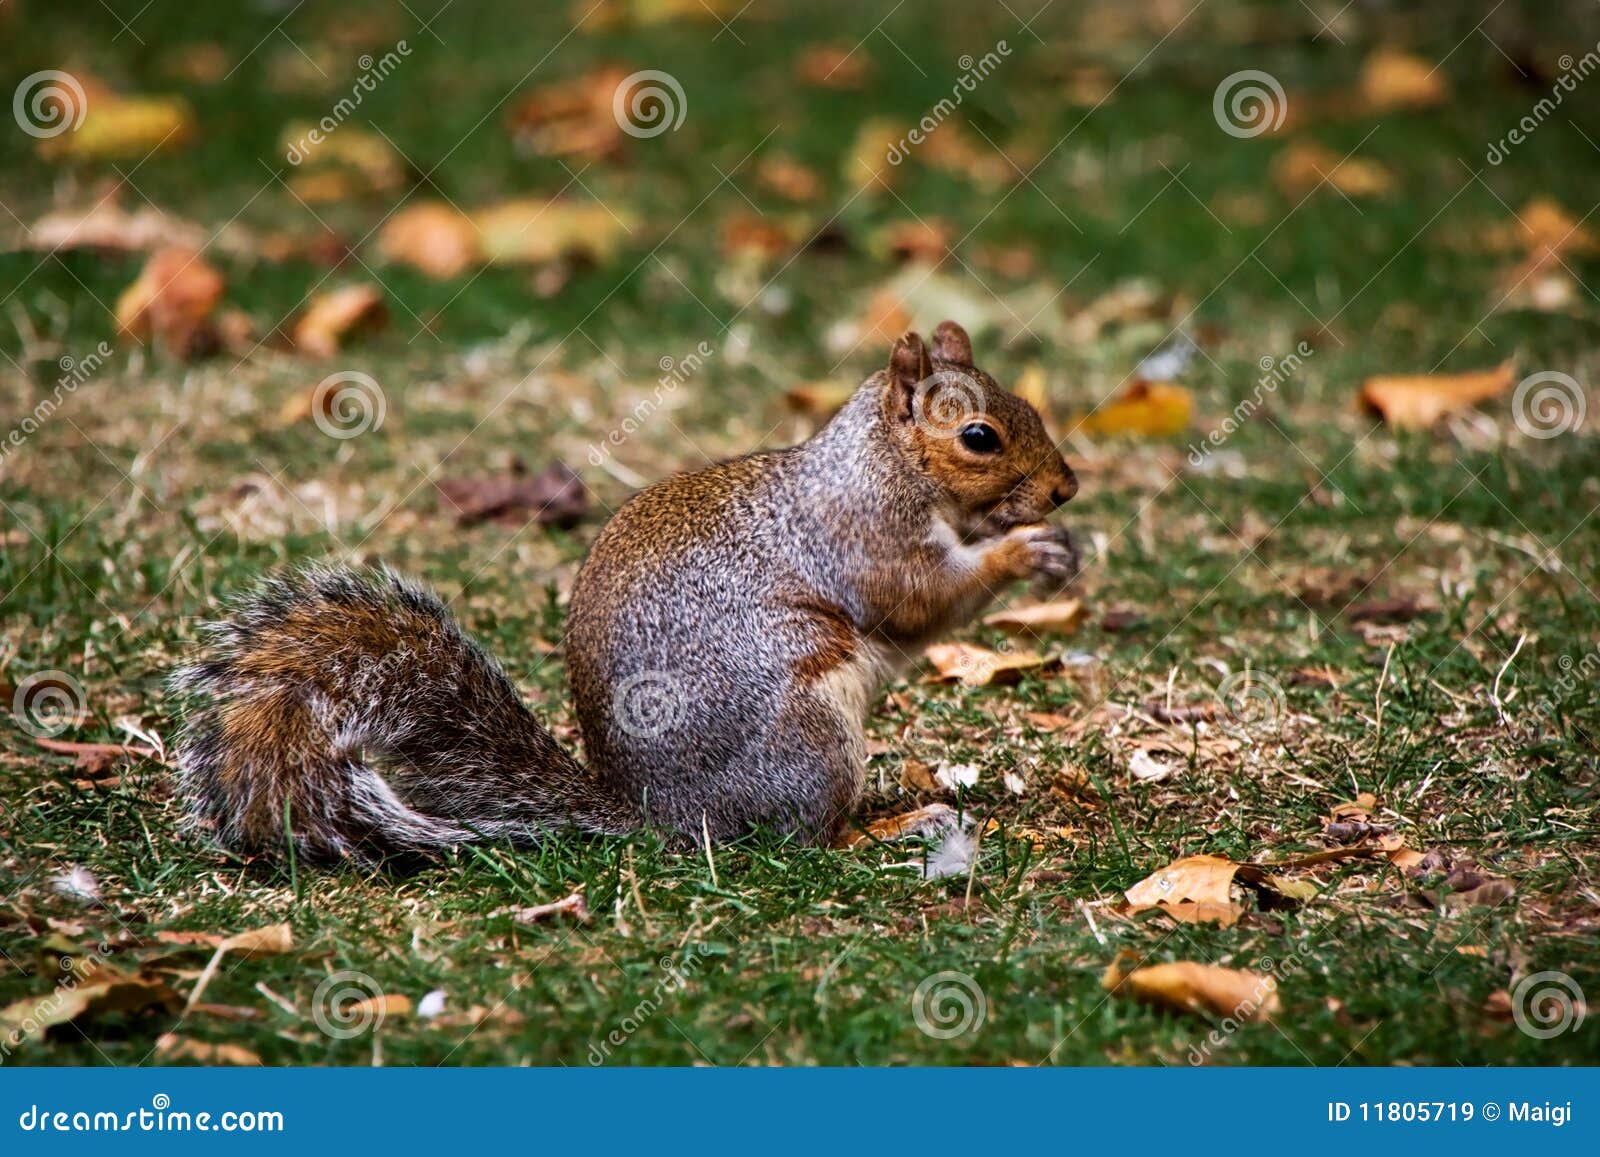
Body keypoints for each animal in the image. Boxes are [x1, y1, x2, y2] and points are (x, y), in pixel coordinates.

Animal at [172, 320, 1079, 864]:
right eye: (979, 436)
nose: (1066, 489)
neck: (884, 464)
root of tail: (658, 813)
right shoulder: (872, 539)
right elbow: (927, 595)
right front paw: (1024, 553)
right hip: (812, 736)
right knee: (805, 837)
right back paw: (889, 825)